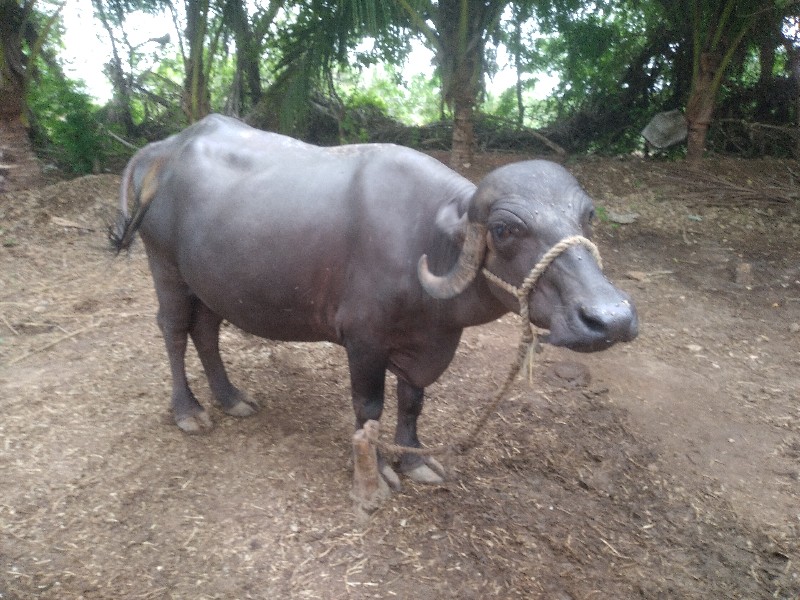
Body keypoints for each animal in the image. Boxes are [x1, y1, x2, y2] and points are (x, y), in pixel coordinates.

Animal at [112, 113, 636, 488]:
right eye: (505, 229)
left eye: (587, 216)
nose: (610, 319)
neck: (429, 240)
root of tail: (163, 149)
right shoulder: (363, 340)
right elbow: (370, 407)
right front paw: (378, 468)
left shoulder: (425, 342)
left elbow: (412, 401)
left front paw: (414, 459)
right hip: (166, 266)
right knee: (174, 330)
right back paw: (188, 411)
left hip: (211, 281)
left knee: (205, 331)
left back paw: (231, 398)